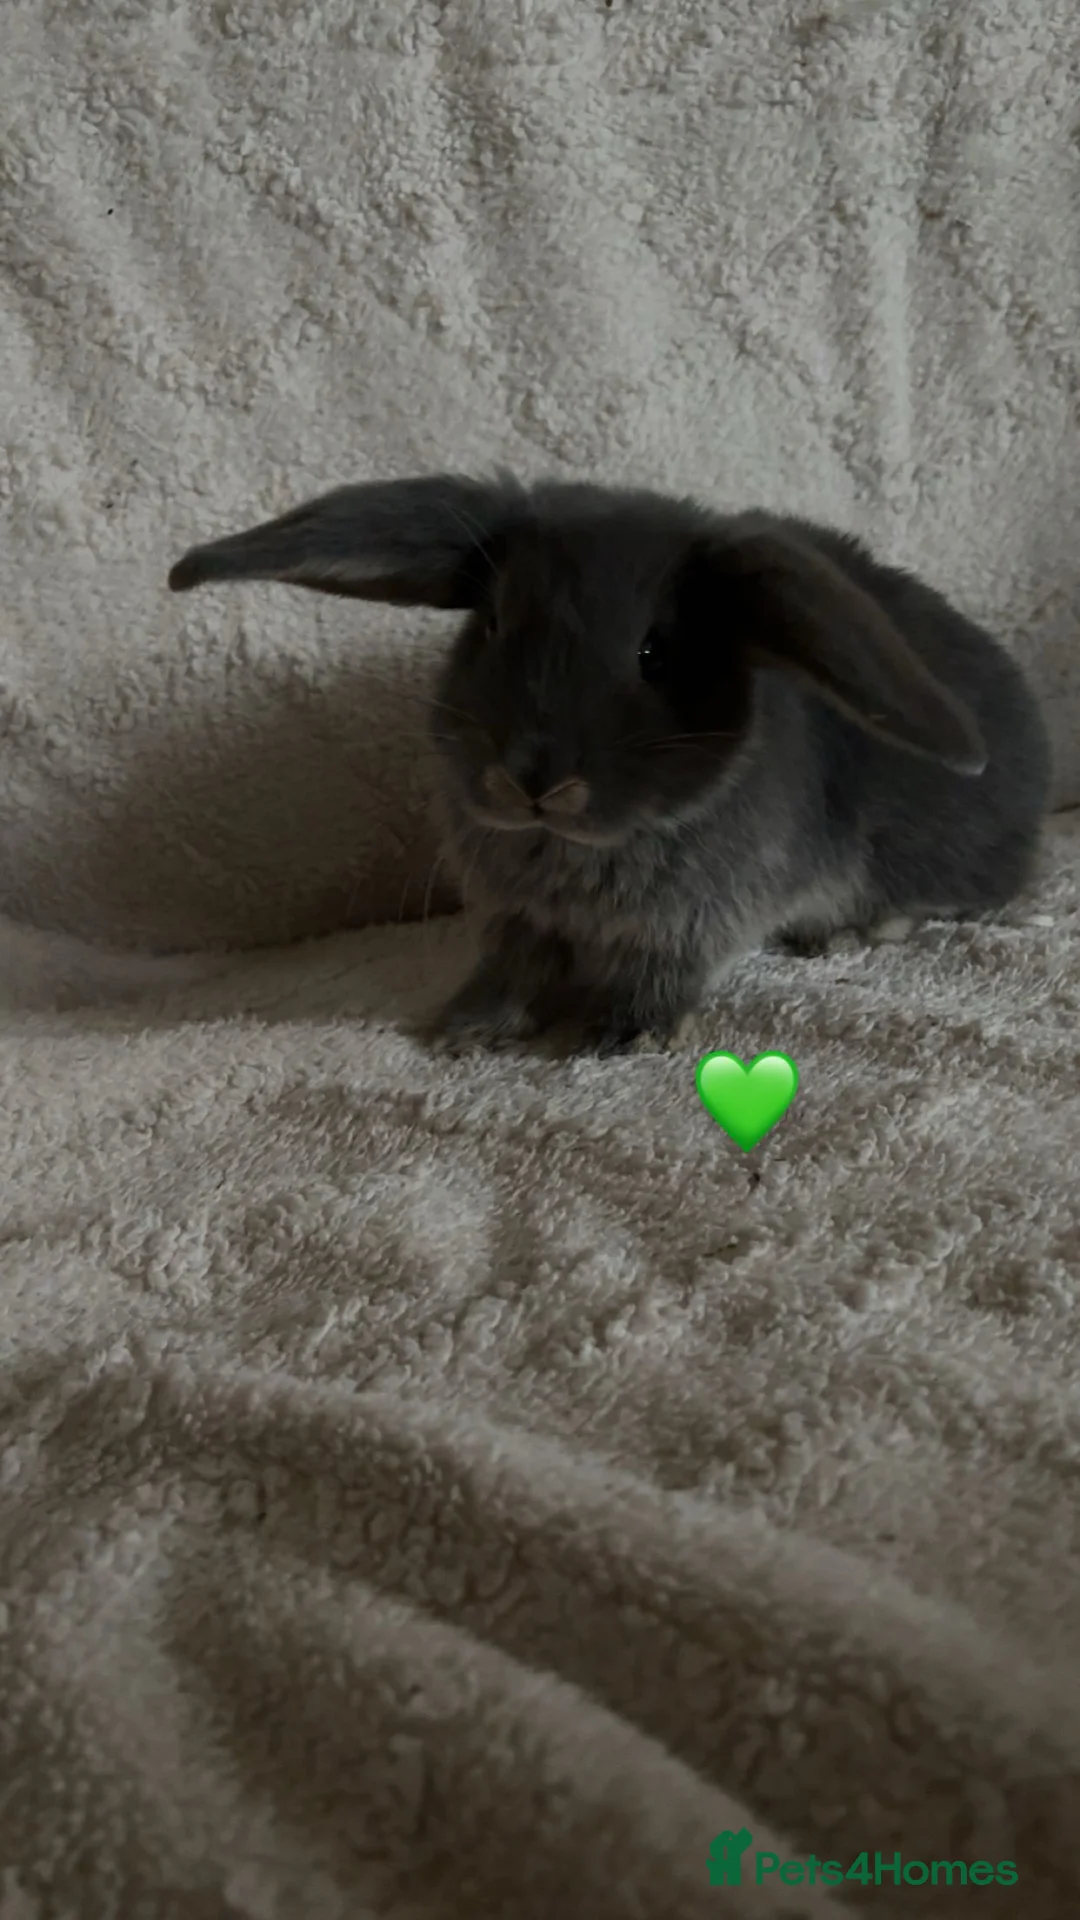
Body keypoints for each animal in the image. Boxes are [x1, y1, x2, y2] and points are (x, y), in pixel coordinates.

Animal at [168, 473, 1052, 1055]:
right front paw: (466, 1028)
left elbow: (661, 977)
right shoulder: (517, 921)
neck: (570, 850)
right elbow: (510, 973)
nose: (530, 780)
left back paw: (861, 930)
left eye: (654, 654)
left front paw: (615, 1035)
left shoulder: (693, 925)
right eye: (491, 624)